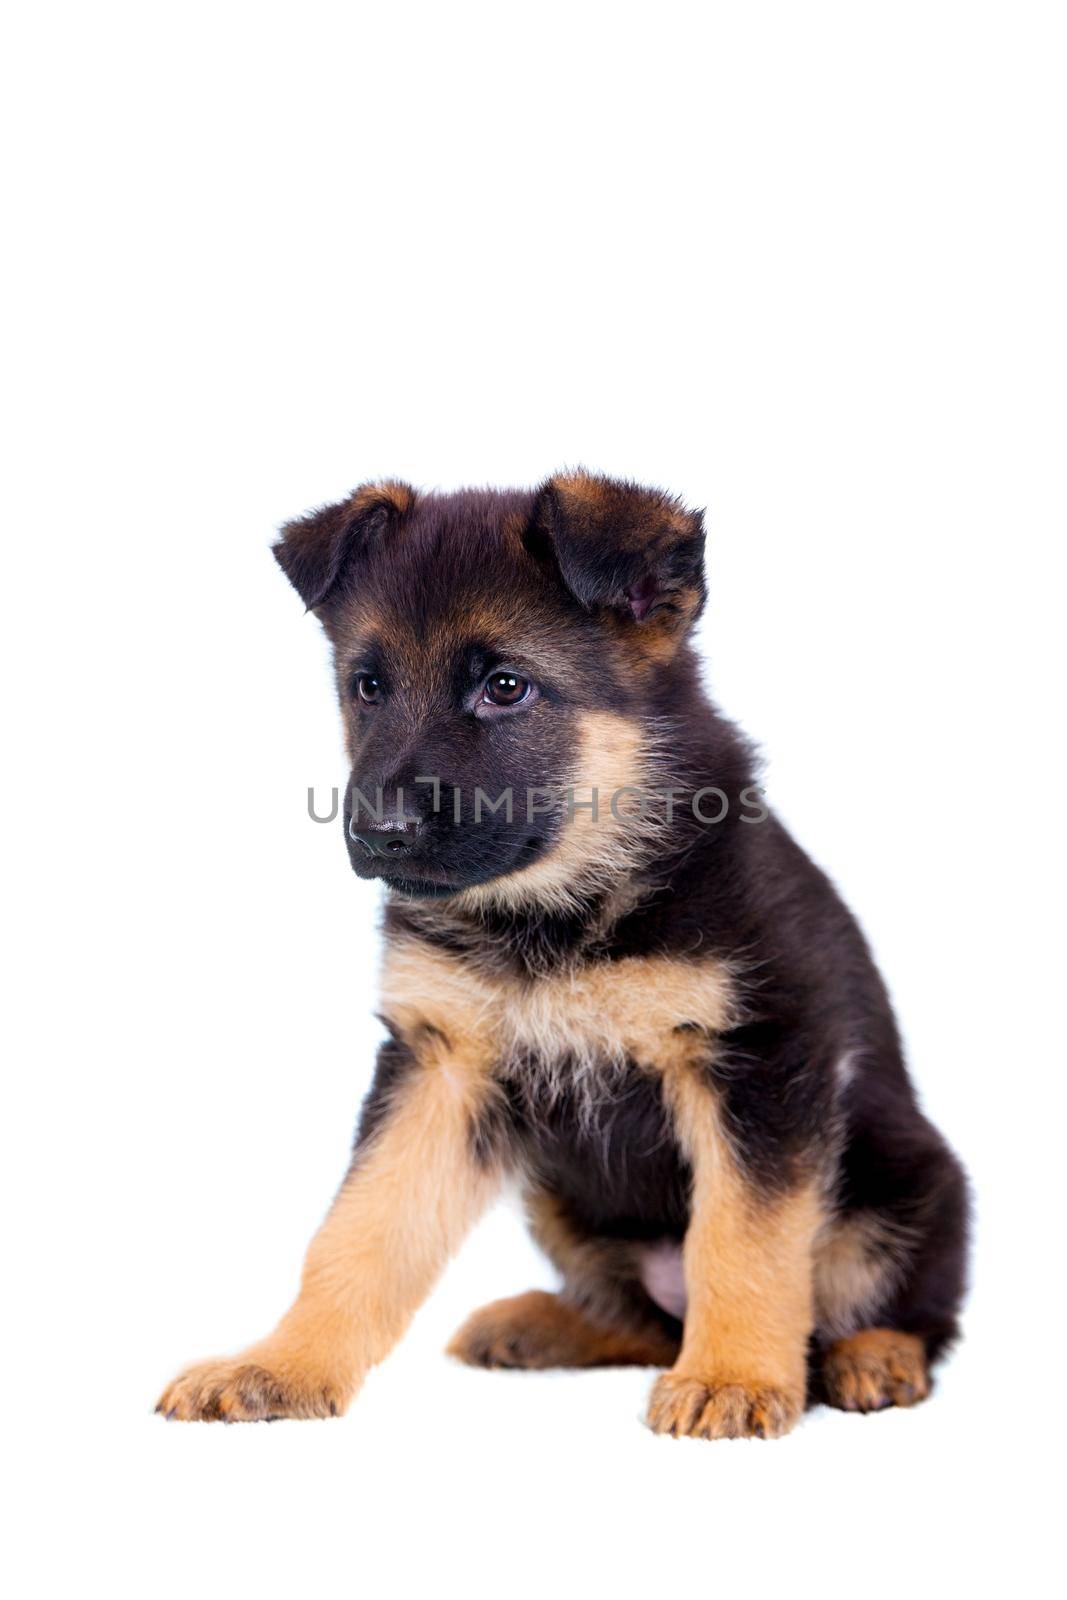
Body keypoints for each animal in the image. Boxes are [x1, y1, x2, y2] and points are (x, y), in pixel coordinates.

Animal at [156, 470, 966, 1440]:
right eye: (368, 685)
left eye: (506, 687)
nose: (378, 834)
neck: (556, 911)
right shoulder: (440, 1067)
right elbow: (358, 1231)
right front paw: (279, 1366)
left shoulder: (758, 1061)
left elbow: (743, 1239)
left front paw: (732, 1377)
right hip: (561, 1198)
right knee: (643, 1321)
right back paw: (542, 1324)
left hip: (902, 1177)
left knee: (896, 1305)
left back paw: (872, 1356)